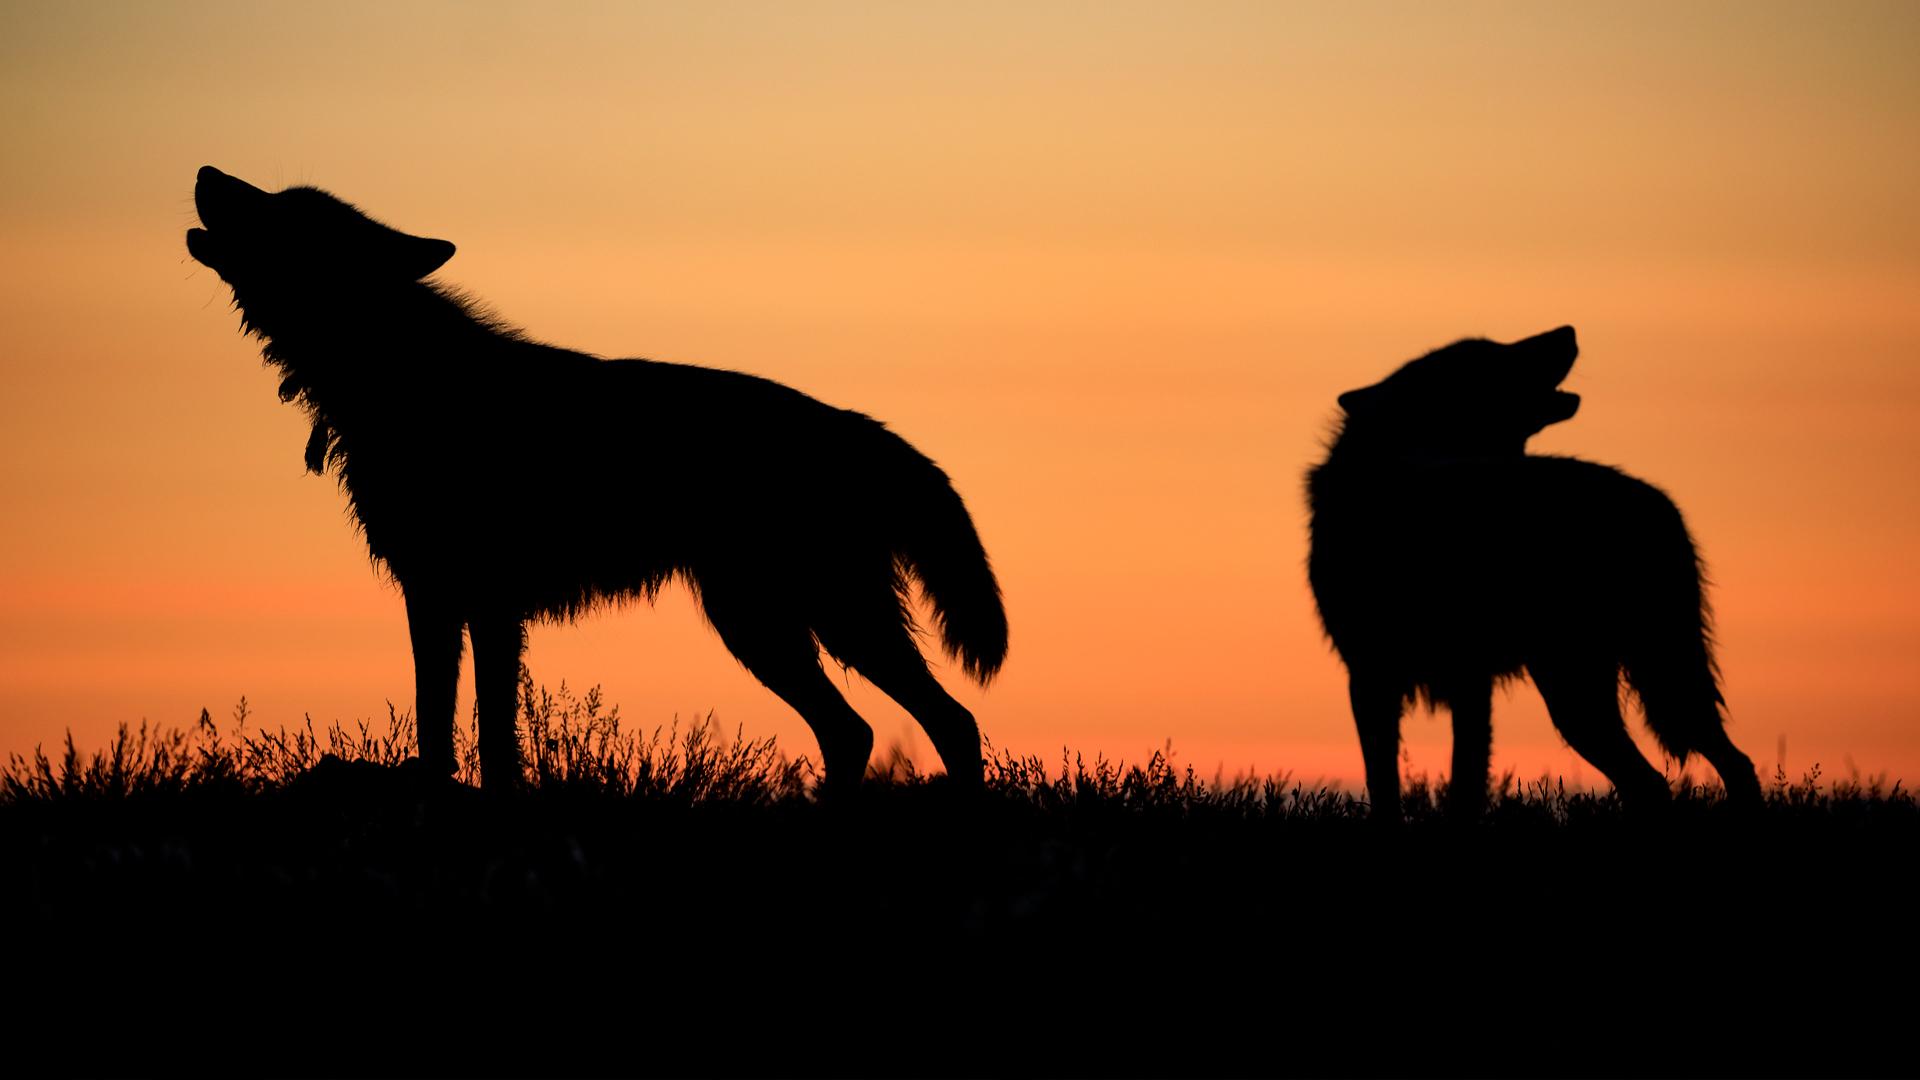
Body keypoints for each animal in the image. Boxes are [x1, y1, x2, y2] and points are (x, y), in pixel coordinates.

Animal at [185, 166, 1007, 792]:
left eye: (283, 208)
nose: (205, 171)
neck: (399, 374)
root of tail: (859, 425)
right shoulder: (436, 597)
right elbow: (438, 729)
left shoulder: (485, 602)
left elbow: (490, 735)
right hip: (763, 625)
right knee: (857, 732)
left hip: (823, 620)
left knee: (949, 722)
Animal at [1305, 327, 1762, 818]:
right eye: (1488, 355)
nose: (1568, 330)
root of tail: (1657, 499)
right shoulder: (1374, 678)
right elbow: (1388, 784)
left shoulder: (1466, 678)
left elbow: (1464, 779)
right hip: (1589, 696)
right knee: (1666, 779)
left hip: (1605, 687)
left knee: (1717, 766)